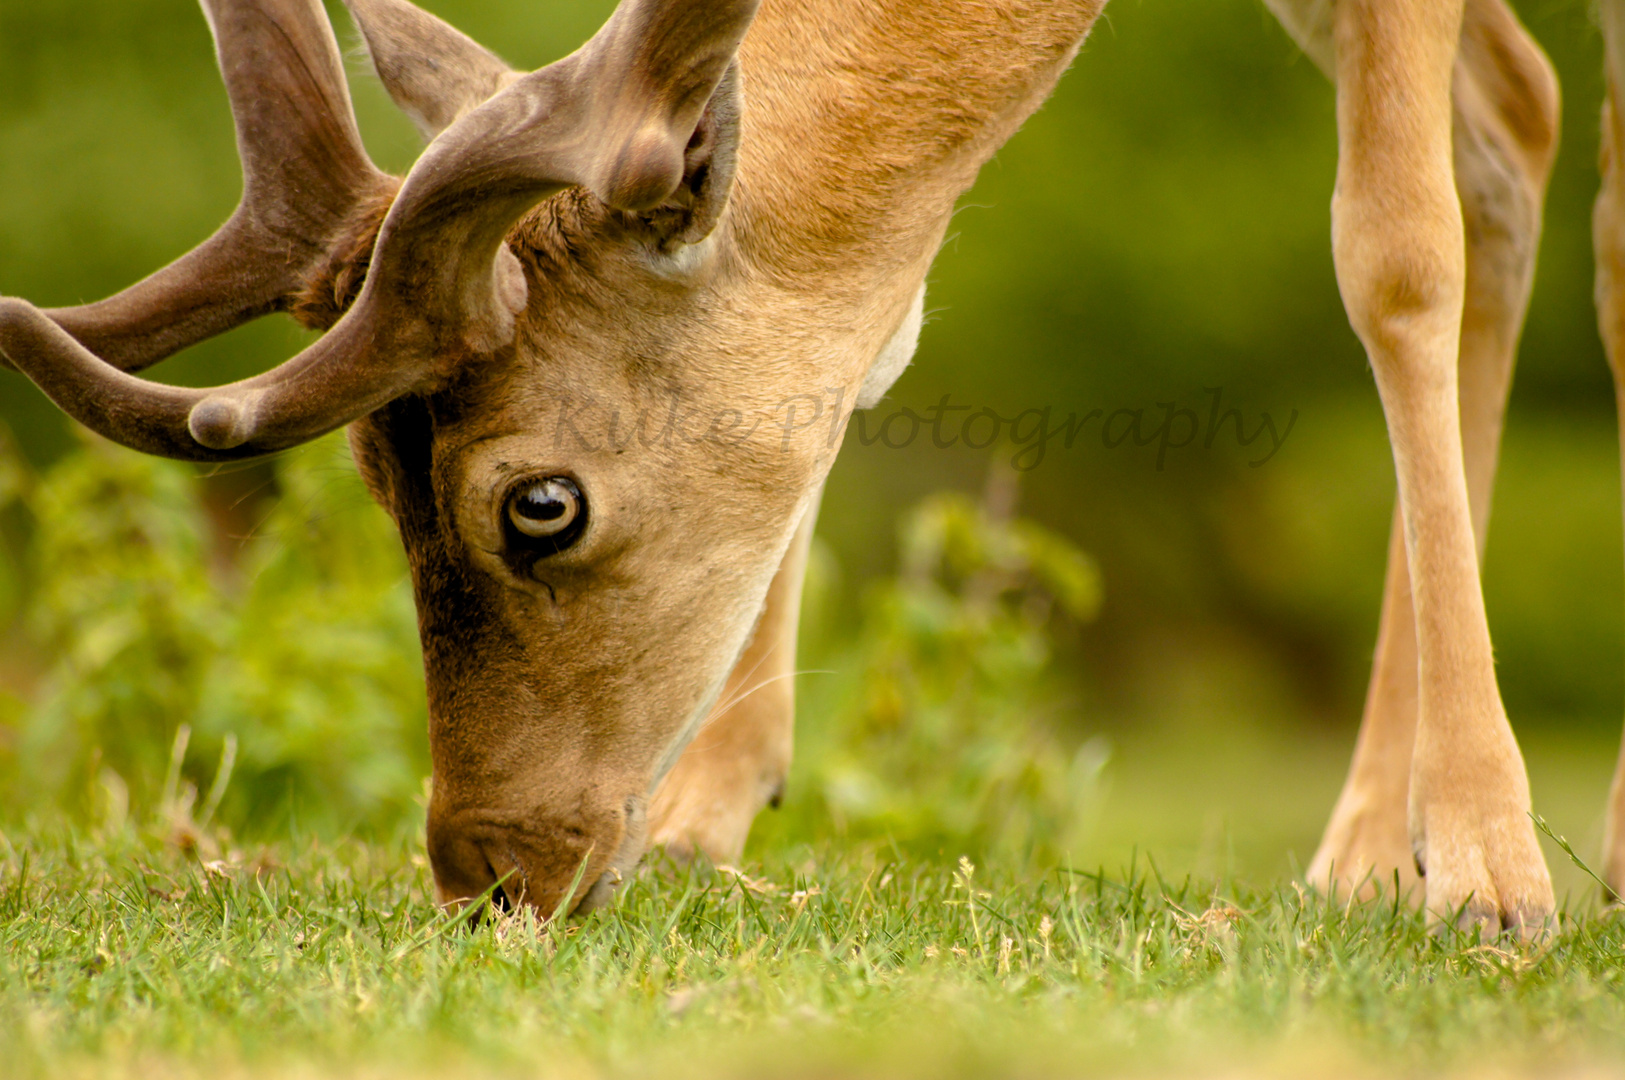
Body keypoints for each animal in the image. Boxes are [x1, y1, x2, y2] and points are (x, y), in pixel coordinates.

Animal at [0, 0, 1599, 928]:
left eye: (538, 504)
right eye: (374, 487)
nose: (481, 871)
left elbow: (1390, 246)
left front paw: (1490, 876)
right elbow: (867, 327)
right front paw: (711, 811)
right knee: (1521, 115)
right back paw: (1363, 846)